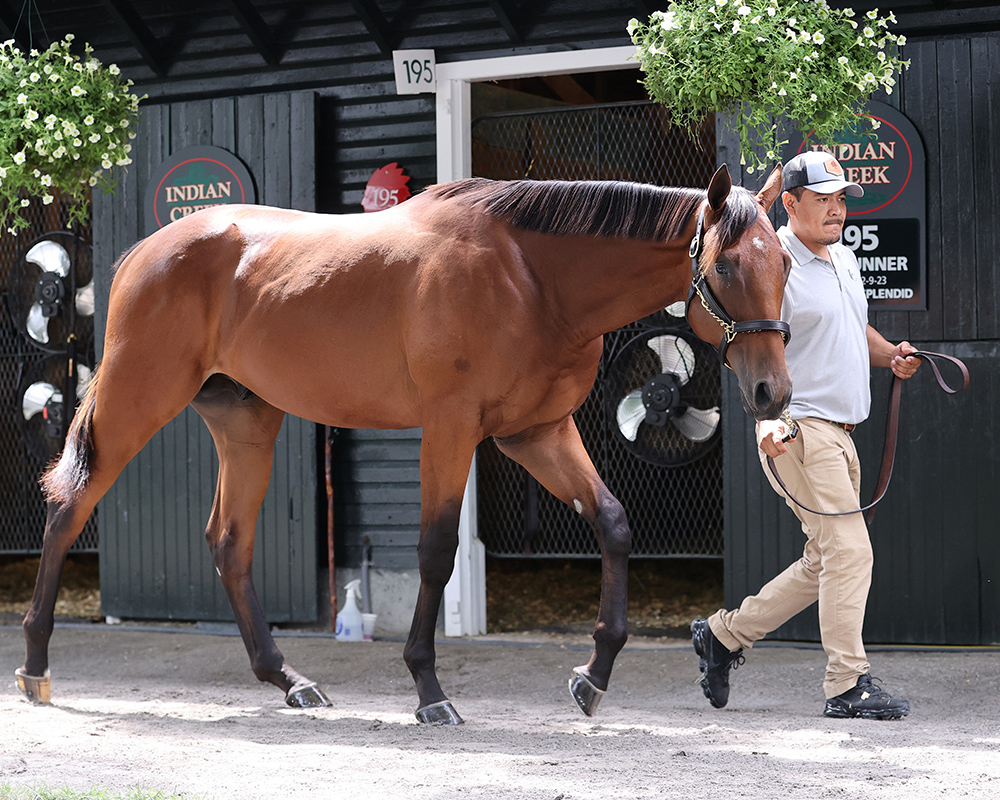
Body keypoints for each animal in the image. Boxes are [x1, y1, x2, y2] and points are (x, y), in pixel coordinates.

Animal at [15, 162, 792, 724]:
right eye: (727, 268)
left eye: (784, 265)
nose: (771, 393)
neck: (532, 276)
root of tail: (142, 253)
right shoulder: (451, 429)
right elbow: (436, 550)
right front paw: (429, 690)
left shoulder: (535, 433)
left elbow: (613, 524)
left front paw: (592, 676)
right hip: (136, 399)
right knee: (69, 508)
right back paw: (35, 667)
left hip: (247, 422)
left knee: (228, 543)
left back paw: (287, 680)